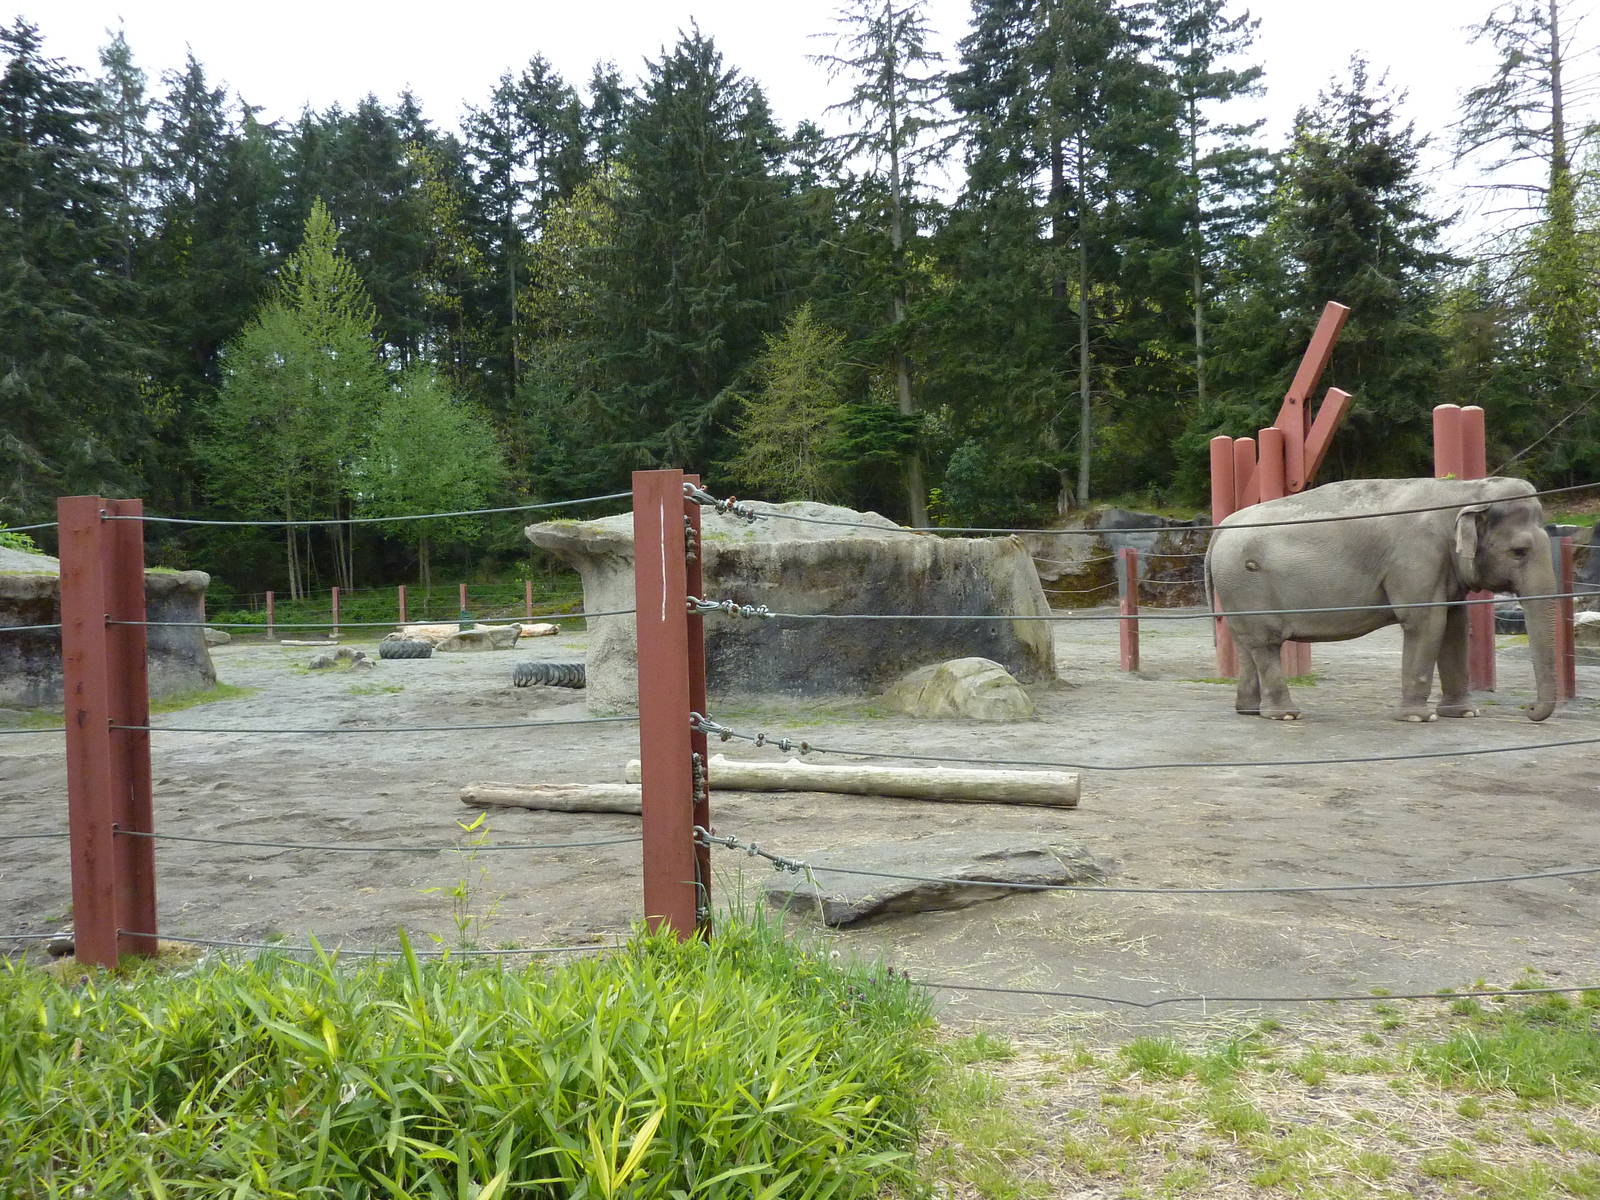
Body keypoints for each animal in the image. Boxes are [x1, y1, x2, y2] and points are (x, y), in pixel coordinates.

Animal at [1205, 476, 1557, 723]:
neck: (1465, 492)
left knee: (1246, 644)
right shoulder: (1417, 555)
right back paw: (1287, 714)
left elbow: (1456, 625)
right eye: (1519, 551)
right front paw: (1419, 717)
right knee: (1265, 644)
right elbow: (1426, 622)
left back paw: (1250, 710)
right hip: (1247, 584)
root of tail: (1220, 529)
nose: (1529, 709)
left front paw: (1465, 713)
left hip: (1236, 590)